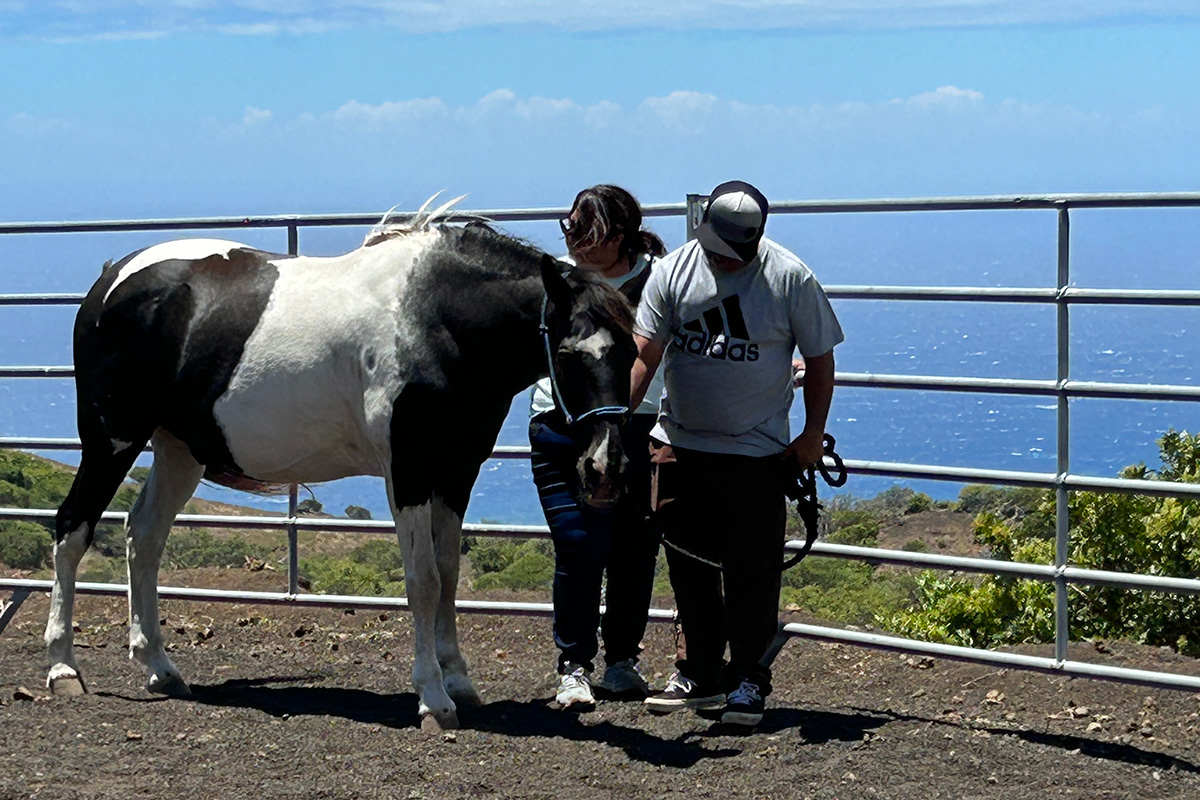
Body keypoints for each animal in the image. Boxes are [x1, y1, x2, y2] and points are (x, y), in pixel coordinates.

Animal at [44, 205, 638, 734]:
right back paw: (63, 667)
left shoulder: (456, 473)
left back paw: (161, 669)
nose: (604, 468)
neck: (435, 317)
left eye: (631, 352)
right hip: (111, 438)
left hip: (178, 449)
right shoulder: (409, 472)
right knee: (73, 528)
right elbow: (423, 580)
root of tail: (112, 278)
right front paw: (433, 699)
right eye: (569, 353)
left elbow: (448, 575)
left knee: (143, 536)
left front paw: (459, 683)